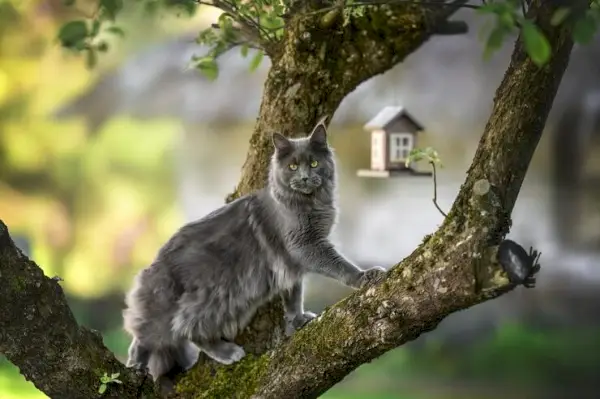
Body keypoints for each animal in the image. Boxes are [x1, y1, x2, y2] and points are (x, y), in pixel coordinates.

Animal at [122, 118, 390, 388]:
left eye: (314, 163)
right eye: (293, 166)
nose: (305, 178)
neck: (309, 204)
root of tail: (153, 266)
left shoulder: (290, 264)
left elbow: (293, 296)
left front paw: (297, 319)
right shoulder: (306, 246)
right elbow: (339, 266)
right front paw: (364, 276)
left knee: (144, 337)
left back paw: (136, 367)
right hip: (214, 296)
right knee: (182, 328)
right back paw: (225, 353)